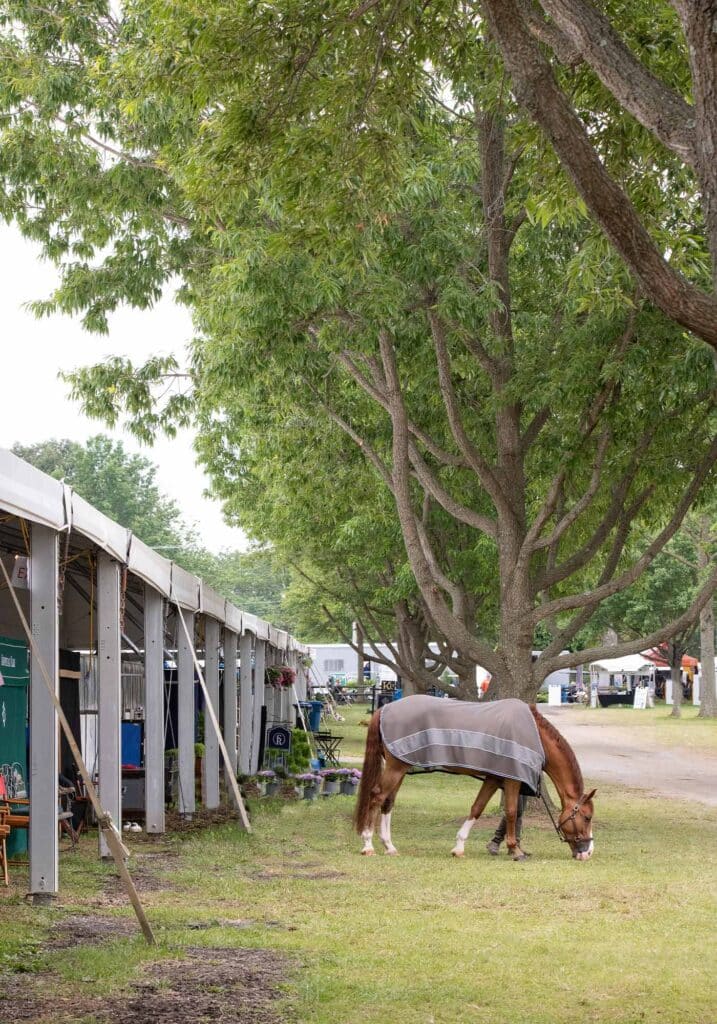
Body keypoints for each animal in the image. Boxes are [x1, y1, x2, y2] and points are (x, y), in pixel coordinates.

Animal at [352, 696, 594, 856]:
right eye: (587, 817)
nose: (588, 851)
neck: (535, 735)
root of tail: (384, 709)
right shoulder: (512, 779)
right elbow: (512, 811)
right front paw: (515, 850)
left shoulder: (494, 778)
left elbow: (477, 808)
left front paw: (459, 846)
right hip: (395, 768)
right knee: (376, 797)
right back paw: (368, 845)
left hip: (401, 768)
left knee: (388, 802)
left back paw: (389, 846)